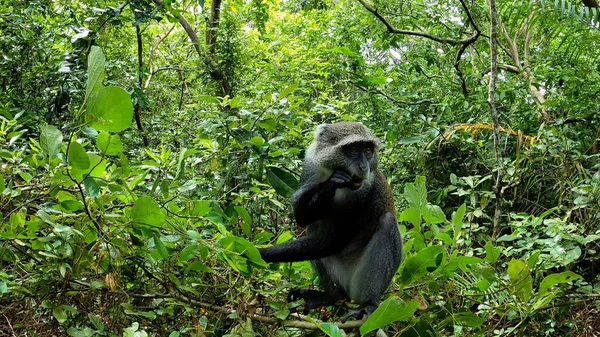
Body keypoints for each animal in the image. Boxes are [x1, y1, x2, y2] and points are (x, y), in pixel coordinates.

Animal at [258, 121, 404, 318]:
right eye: (352, 149)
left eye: (367, 150)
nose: (363, 168)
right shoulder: (311, 163)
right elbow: (301, 217)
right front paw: (332, 183)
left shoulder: (365, 191)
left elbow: (334, 240)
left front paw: (259, 253)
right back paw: (331, 296)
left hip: (358, 282)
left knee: (387, 222)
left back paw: (367, 303)